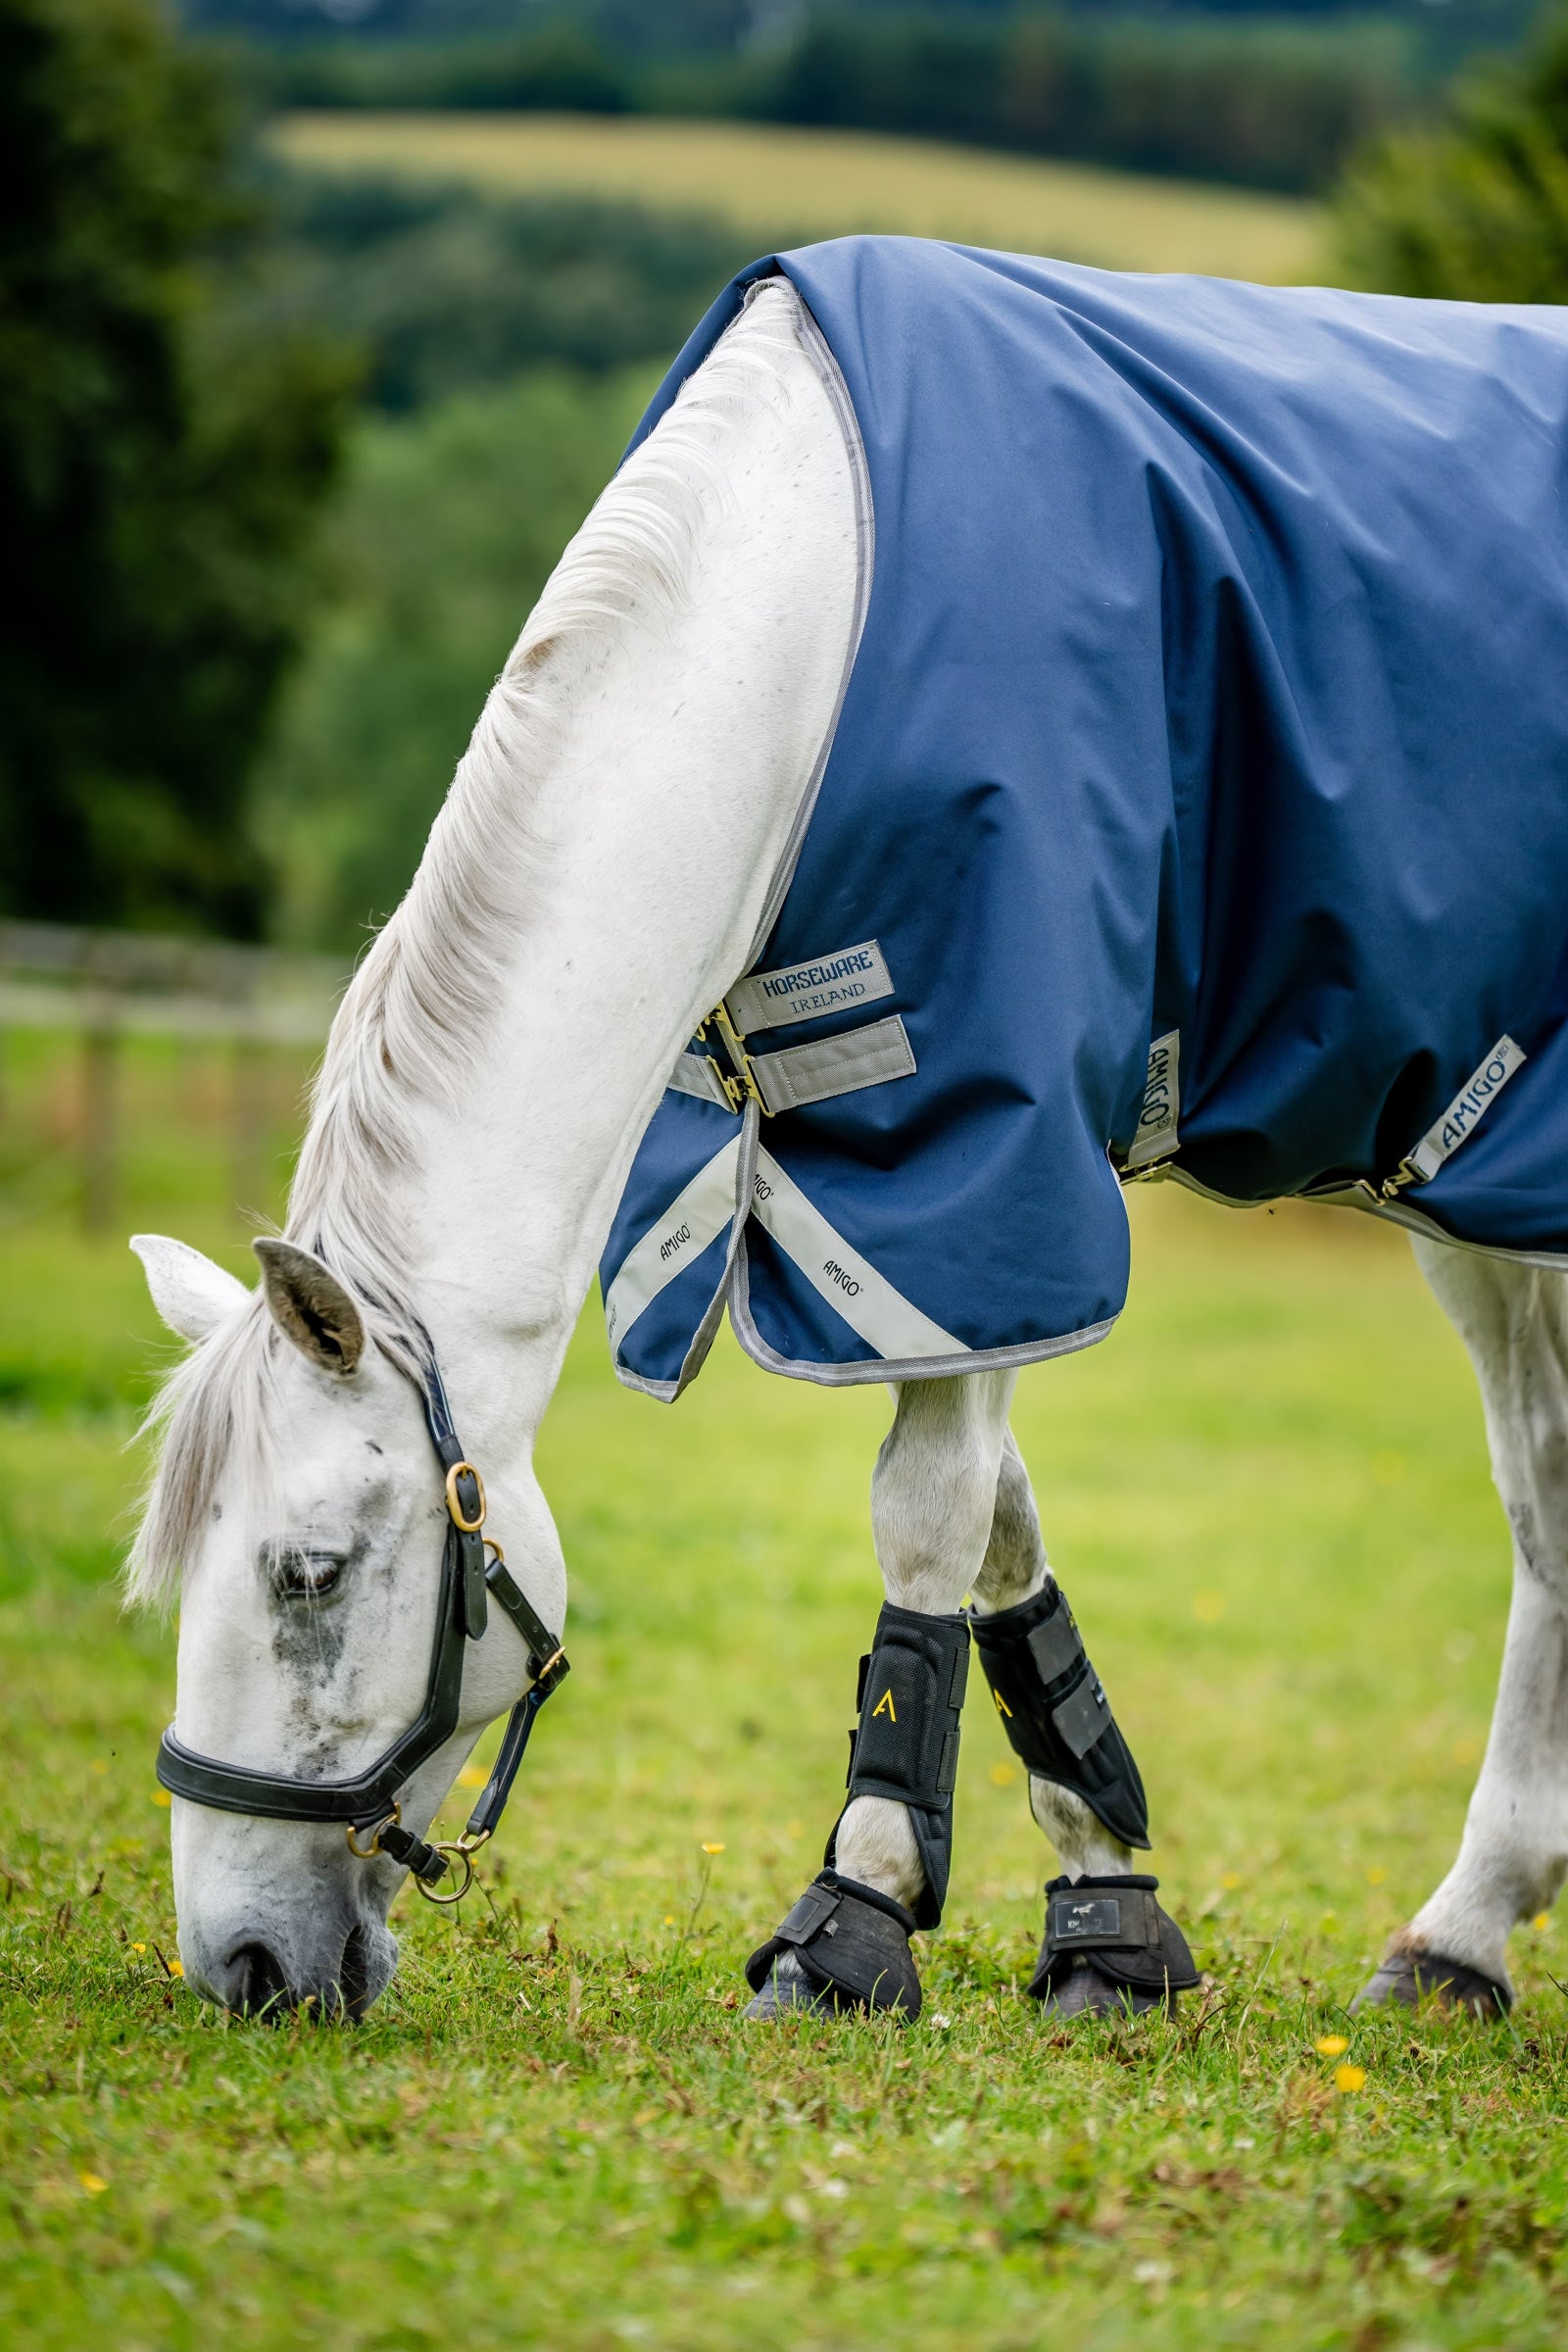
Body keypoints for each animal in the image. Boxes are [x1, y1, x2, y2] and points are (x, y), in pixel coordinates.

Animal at [128, 244, 1568, 2023]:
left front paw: (857, 1915)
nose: (243, 1963)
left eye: (310, 1572)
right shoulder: (926, 1228)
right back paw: (1460, 1937)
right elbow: (999, 1509)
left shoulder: (979, 1154)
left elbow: (930, 1512)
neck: (810, 612)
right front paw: (1107, 1909)